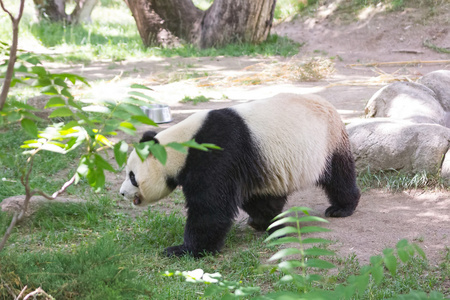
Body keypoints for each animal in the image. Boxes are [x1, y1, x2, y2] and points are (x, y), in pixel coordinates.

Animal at [118, 94, 358, 258]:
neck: (182, 146)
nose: (122, 193)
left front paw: (184, 249)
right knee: (274, 189)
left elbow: (211, 207)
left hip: (328, 142)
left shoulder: (216, 153)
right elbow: (250, 198)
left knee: (338, 176)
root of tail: (328, 104)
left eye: (132, 176)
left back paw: (341, 208)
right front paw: (261, 220)